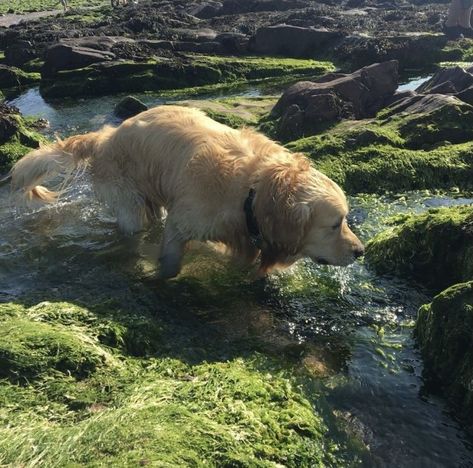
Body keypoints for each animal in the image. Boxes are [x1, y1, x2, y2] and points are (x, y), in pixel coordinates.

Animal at [8, 105, 366, 278]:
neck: (252, 192)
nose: (361, 251)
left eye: (345, 220)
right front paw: (163, 277)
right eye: (335, 224)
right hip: (129, 200)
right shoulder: (182, 223)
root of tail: (105, 136)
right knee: (133, 228)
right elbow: (172, 259)